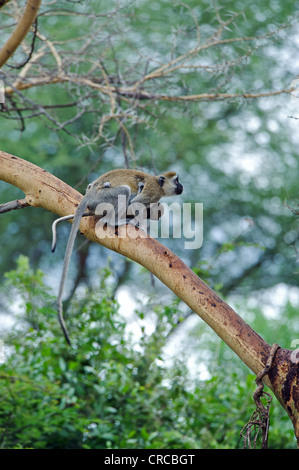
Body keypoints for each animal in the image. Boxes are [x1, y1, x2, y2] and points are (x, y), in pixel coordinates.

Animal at [54, 169, 184, 346]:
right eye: (176, 181)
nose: (181, 186)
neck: (158, 183)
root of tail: (89, 196)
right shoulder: (153, 192)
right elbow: (134, 203)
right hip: (103, 198)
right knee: (124, 192)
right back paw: (114, 221)